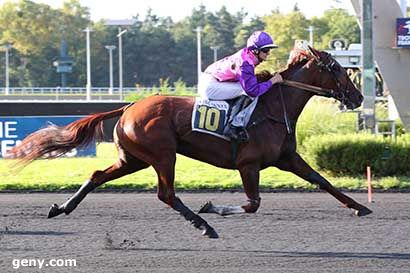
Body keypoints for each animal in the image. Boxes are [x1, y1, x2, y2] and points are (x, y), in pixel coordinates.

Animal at [7, 46, 372, 238]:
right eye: (337, 68)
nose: (358, 97)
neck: (270, 108)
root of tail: (128, 107)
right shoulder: (248, 164)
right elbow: (252, 203)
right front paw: (212, 207)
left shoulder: (287, 158)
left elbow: (322, 180)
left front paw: (361, 206)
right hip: (163, 154)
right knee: (166, 193)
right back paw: (204, 224)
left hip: (133, 158)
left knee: (97, 176)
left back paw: (61, 208)